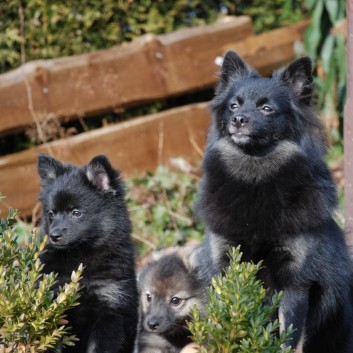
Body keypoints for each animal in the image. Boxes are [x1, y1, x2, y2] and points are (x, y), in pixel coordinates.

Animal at [195, 51, 352, 350]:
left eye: (267, 109)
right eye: (234, 105)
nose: (239, 120)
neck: (256, 176)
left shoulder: (294, 284)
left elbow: (287, 337)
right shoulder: (224, 267)